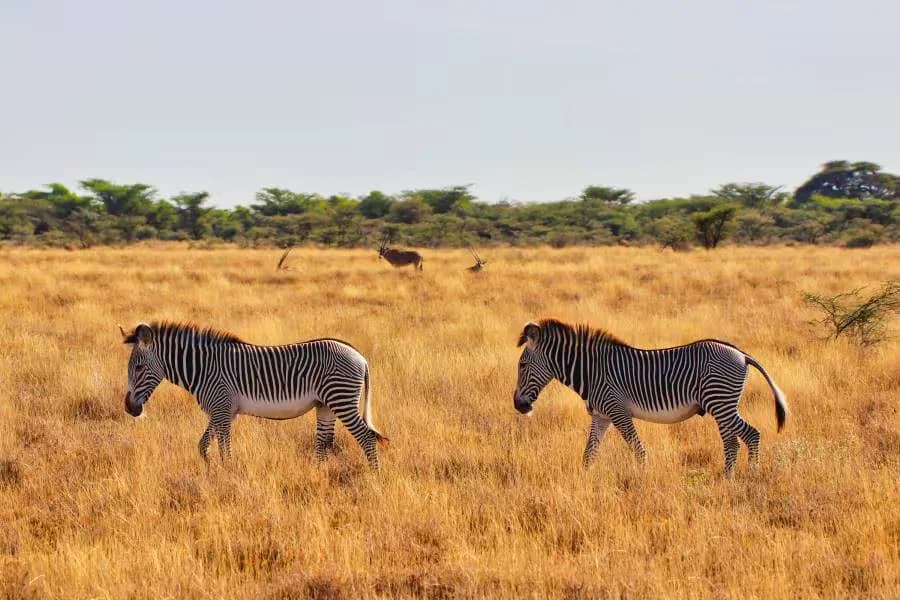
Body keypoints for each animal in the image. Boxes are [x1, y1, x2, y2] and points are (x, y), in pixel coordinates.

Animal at [120, 321, 388, 469]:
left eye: (139, 368)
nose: (129, 409)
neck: (203, 368)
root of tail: (360, 356)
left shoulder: (221, 408)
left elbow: (224, 449)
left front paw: (227, 476)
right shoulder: (223, 411)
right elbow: (203, 446)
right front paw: (210, 471)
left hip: (341, 399)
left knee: (366, 437)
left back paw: (373, 477)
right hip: (325, 404)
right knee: (325, 442)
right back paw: (316, 475)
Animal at [513, 319, 787, 476]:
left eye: (523, 365)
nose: (518, 405)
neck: (591, 371)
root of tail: (741, 354)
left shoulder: (618, 411)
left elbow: (638, 450)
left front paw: (643, 479)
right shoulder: (602, 416)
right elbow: (589, 453)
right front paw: (584, 479)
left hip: (720, 402)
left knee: (750, 435)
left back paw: (748, 477)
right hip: (723, 404)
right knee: (733, 442)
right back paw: (727, 478)